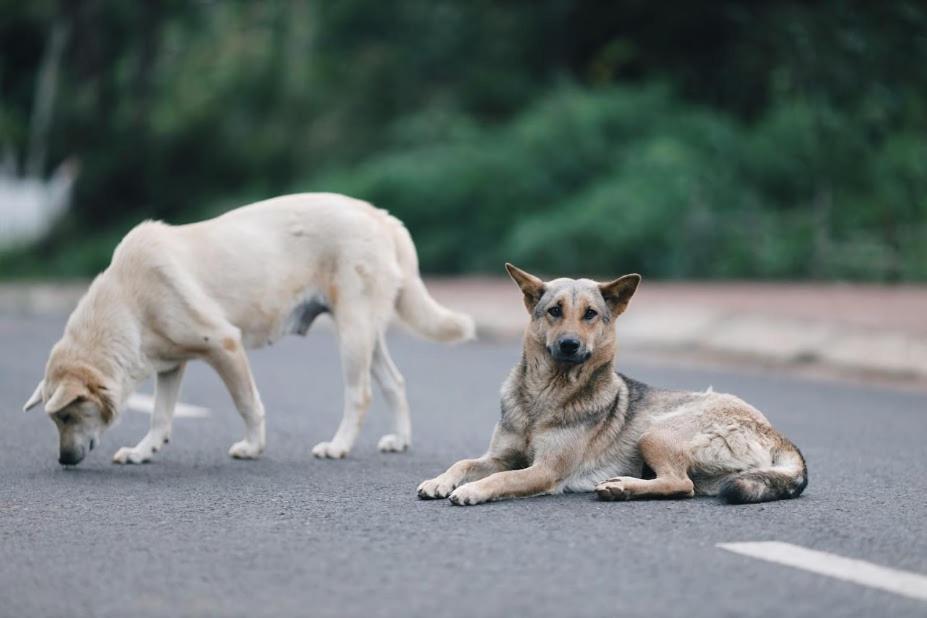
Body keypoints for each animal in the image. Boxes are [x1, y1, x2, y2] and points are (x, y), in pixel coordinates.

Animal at [25, 192, 474, 462]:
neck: (129, 299)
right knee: (394, 384)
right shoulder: (171, 366)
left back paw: (338, 446)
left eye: (66, 416)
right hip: (367, 336)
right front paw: (143, 451)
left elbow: (247, 404)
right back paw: (399, 440)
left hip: (352, 333)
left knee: (360, 395)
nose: (64, 460)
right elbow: (159, 416)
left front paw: (254, 447)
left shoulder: (224, 346)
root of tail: (378, 215)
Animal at [416, 262, 808, 502]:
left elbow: (501, 479)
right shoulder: (500, 456)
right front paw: (440, 481)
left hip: (656, 432)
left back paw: (622, 487)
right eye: (554, 311)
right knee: (685, 484)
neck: (545, 397)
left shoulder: (544, 470)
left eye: (590, 314)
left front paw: (474, 491)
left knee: (681, 484)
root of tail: (777, 434)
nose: (569, 345)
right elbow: (464, 463)